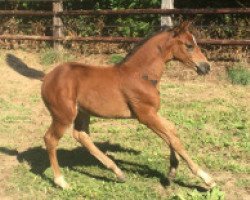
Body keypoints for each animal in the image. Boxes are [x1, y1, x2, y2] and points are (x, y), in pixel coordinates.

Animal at [40, 22, 215, 189]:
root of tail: (47, 78)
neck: (141, 75)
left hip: (82, 112)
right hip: (63, 115)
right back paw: (61, 181)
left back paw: (118, 172)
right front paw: (206, 178)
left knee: (81, 135)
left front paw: (172, 170)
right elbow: (173, 139)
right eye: (189, 45)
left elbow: (172, 131)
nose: (206, 67)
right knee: (50, 139)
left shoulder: (153, 112)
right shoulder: (145, 115)